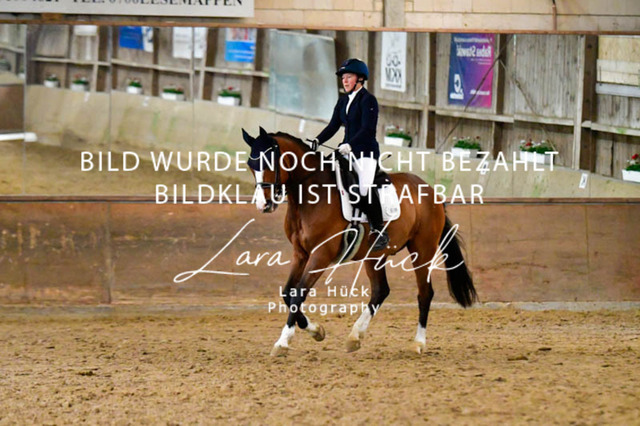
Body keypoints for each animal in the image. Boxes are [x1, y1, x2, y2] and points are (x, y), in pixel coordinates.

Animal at [241, 127, 477, 356]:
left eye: (270, 162)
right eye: (251, 165)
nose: (264, 204)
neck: (312, 193)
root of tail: (431, 192)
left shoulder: (321, 254)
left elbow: (298, 293)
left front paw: (283, 342)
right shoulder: (301, 253)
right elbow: (287, 293)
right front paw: (316, 330)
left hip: (422, 249)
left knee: (425, 293)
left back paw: (418, 344)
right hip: (374, 256)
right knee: (381, 290)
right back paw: (355, 336)